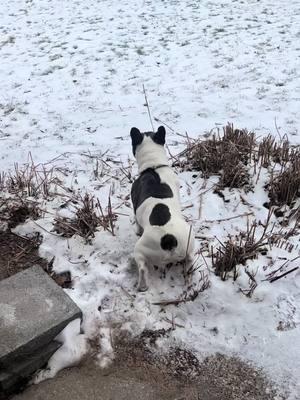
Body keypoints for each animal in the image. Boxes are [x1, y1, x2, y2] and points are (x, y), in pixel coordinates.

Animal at [129, 125, 195, 290]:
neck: (153, 167)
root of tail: (169, 239)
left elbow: (137, 221)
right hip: (189, 240)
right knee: (190, 259)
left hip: (140, 249)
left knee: (142, 268)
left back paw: (142, 285)